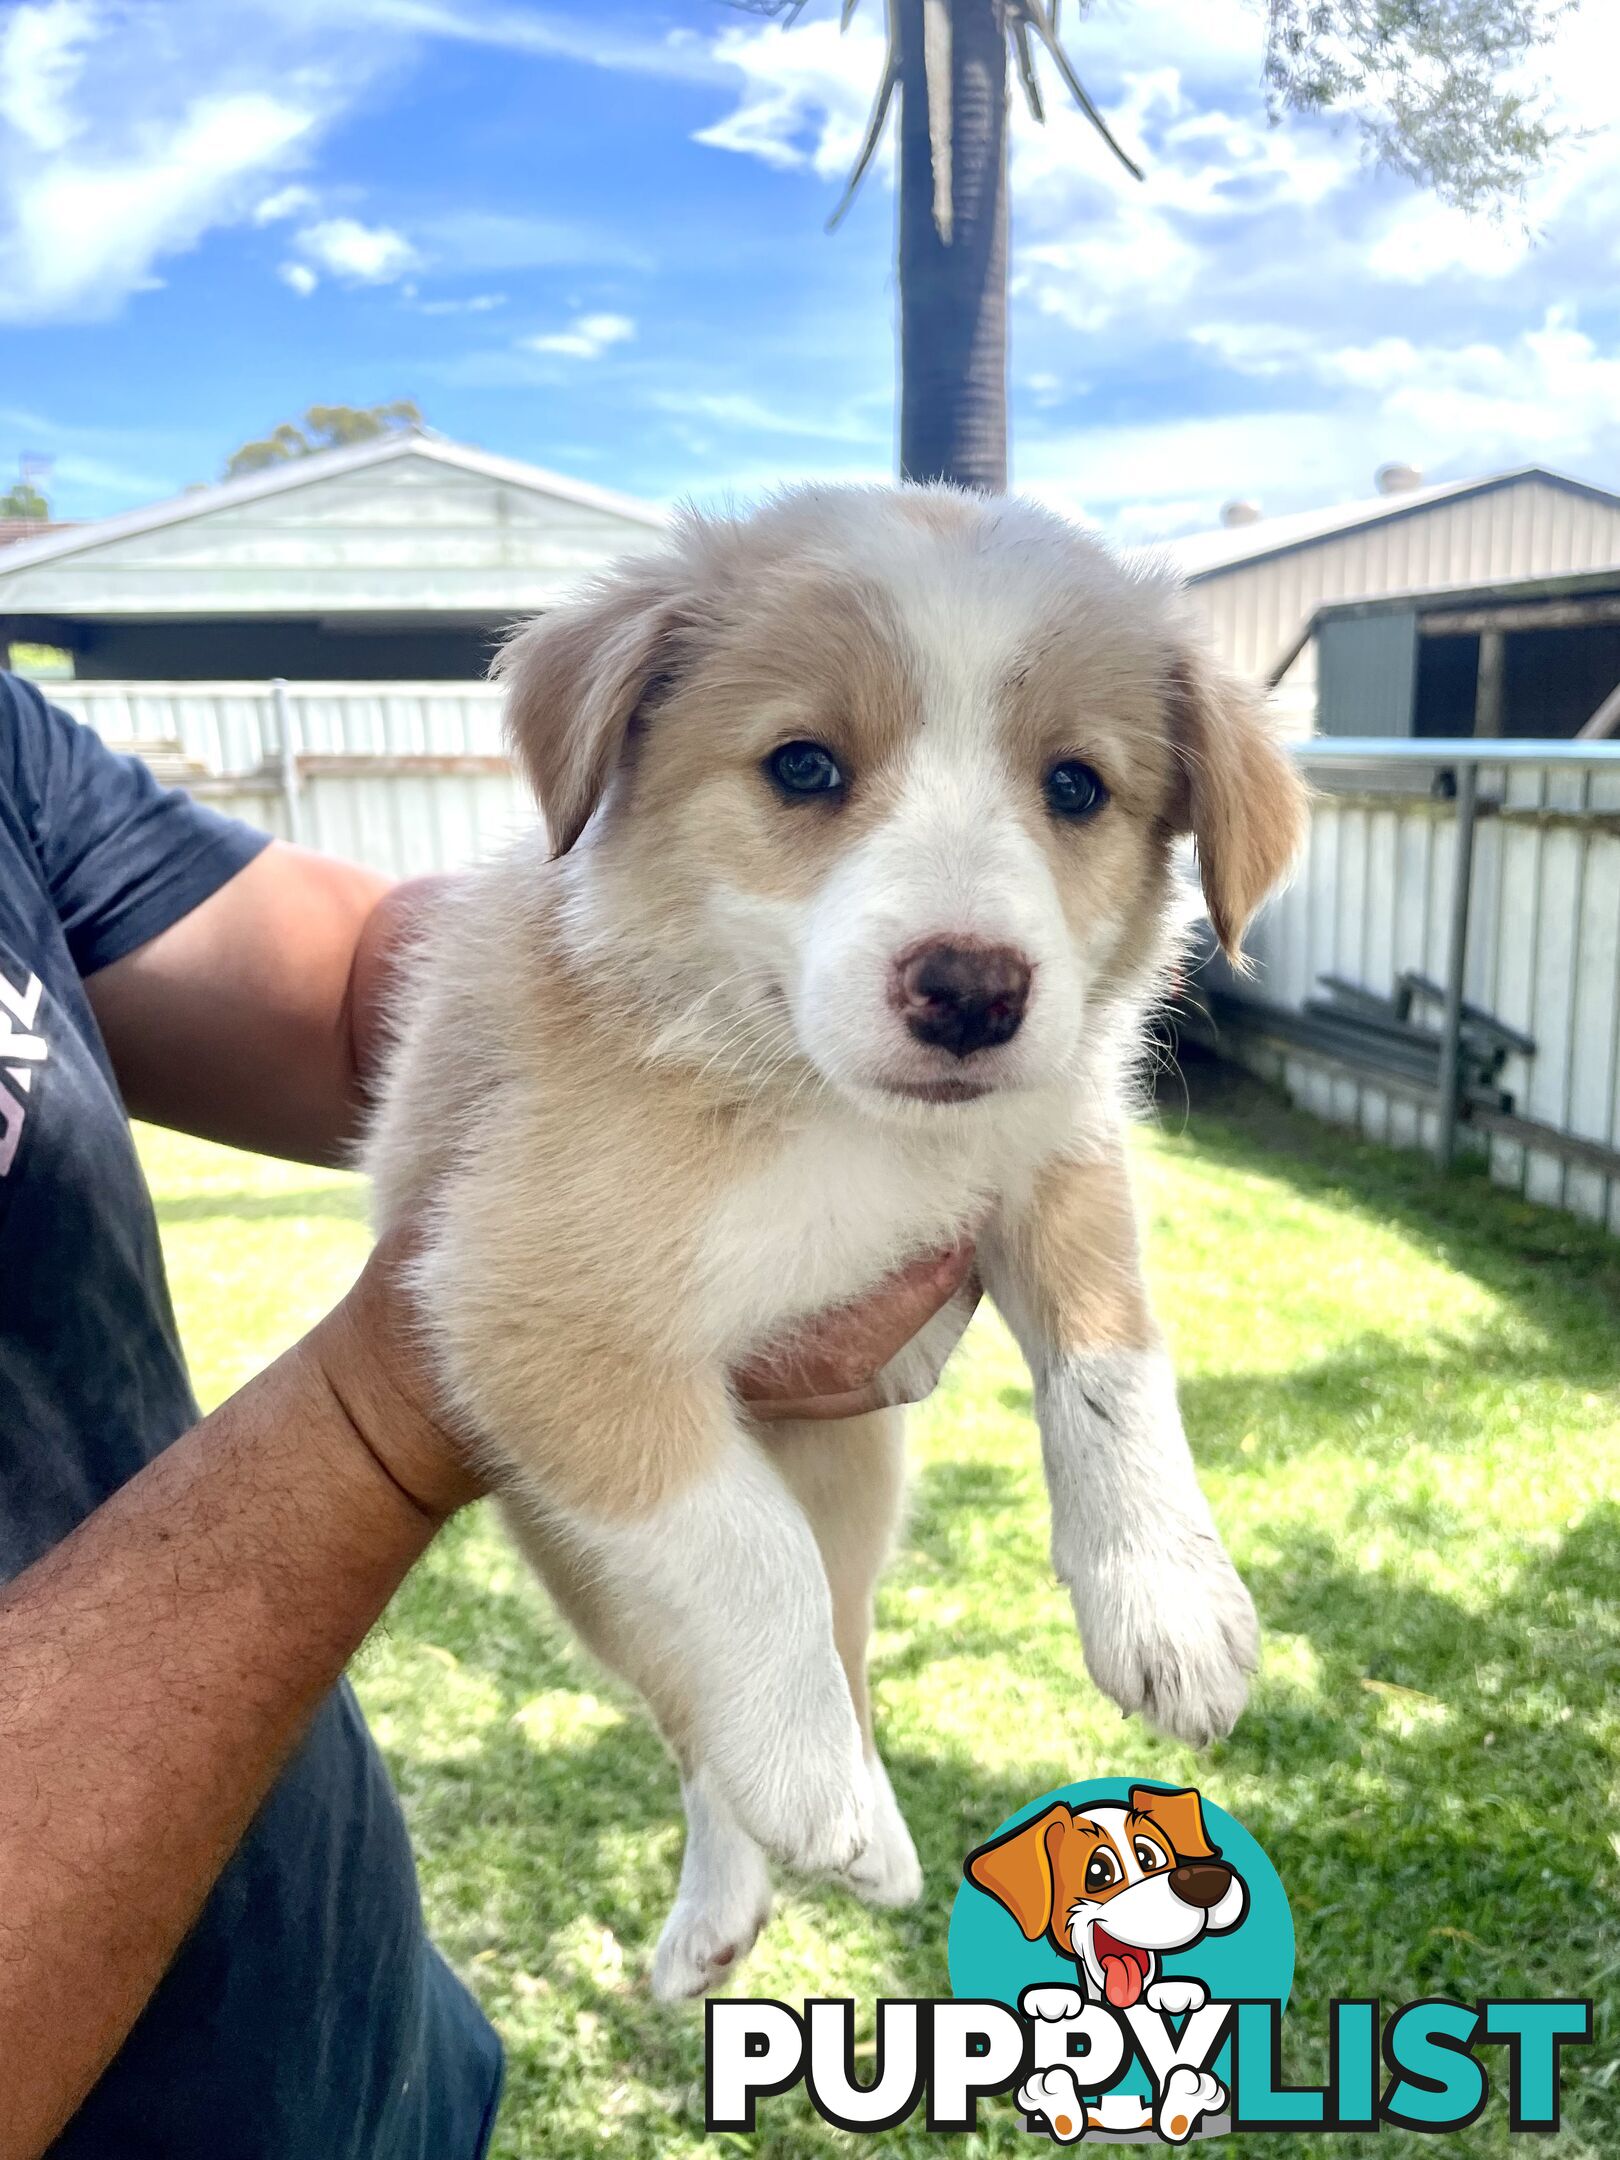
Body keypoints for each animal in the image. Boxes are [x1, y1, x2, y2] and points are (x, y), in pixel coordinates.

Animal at [367, 481, 1304, 1995]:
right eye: (802, 768)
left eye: (1076, 787)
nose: (973, 991)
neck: (842, 1118)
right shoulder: (528, 1312)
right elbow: (741, 1544)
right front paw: (811, 1779)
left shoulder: (1058, 1157)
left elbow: (1110, 1370)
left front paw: (1168, 1602)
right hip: (580, 1559)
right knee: (697, 1710)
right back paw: (754, 1865)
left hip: (860, 1483)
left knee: (845, 1632)